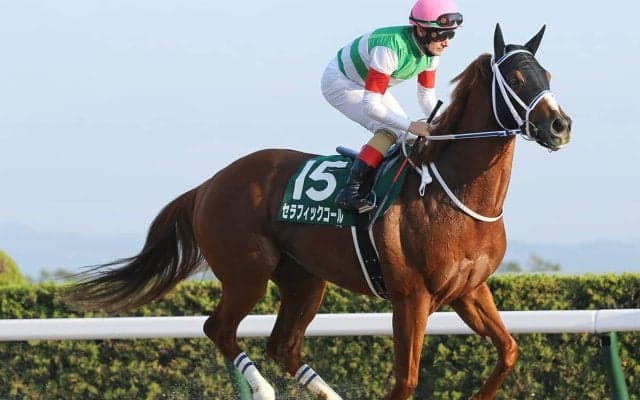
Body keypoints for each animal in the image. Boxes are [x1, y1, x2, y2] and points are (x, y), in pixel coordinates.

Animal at [65, 24, 571, 400]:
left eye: (547, 74)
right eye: (517, 80)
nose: (560, 125)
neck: (453, 196)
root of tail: (208, 184)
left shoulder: (469, 290)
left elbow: (508, 351)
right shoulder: (411, 297)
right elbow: (405, 380)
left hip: (305, 280)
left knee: (283, 346)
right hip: (247, 272)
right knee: (219, 329)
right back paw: (262, 389)